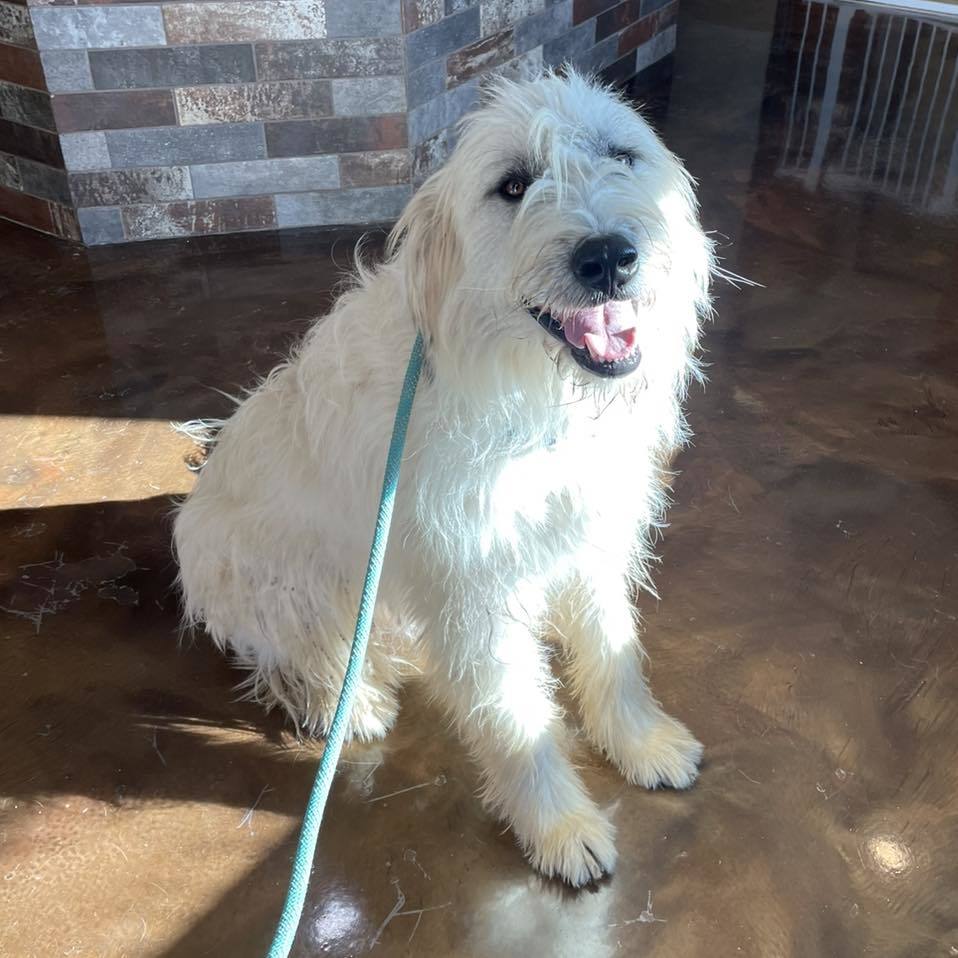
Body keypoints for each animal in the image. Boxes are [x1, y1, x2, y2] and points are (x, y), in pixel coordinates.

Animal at [172, 71, 716, 888]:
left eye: (622, 155)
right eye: (514, 184)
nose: (609, 256)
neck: (533, 396)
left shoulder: (589, 545)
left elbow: (612, 653)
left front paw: (641, 742)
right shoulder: (474, 592)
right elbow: (517, 719)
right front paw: (559, 827)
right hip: (285, 580)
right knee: (293, 655)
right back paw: (346, 701)